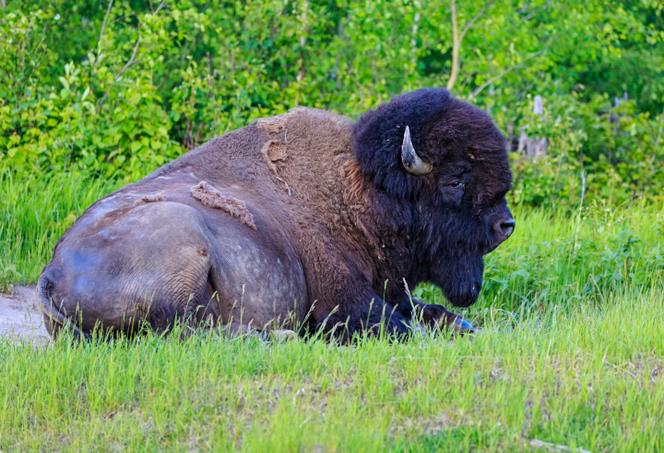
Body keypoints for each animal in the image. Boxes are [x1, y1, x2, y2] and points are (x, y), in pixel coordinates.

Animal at [38, 88, 514, 341]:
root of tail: (52, 273)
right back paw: (284, 335)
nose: (505, 225)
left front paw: (467, 325)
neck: (359, 191)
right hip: (184, 244)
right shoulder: (345, 298)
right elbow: (396, 325)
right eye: (455, 179)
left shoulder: (392, 291)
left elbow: (429, 311)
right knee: (196, 332)